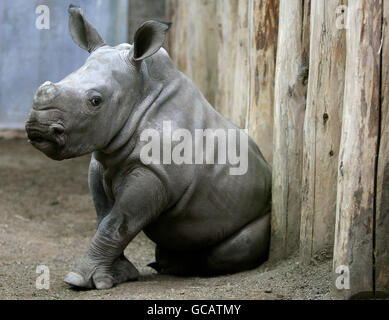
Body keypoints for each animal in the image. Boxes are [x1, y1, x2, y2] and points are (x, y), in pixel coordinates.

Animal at [25, 5, 272, 290]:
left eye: (95, 101)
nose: (38, 128)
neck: (141, 93)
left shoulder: (155, 173)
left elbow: (118, 223)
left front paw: (78, 280)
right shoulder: (101, 162)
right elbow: (104, 217)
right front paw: (117, 276)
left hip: (261, 205)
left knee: (235, 247)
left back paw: (183, 268)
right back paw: (163, 263)